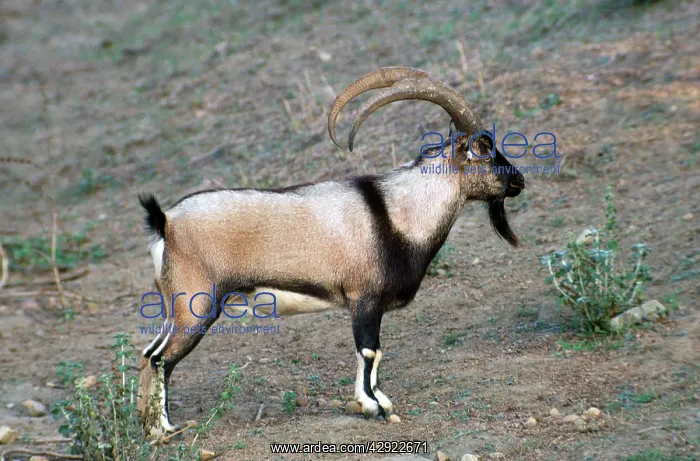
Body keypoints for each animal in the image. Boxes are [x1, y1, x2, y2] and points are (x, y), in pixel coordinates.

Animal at [136, 67, 525, 432]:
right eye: (483, 152)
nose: (519, 180)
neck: (397, 212)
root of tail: (166, 223)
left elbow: (375, 354)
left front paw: (380, 401)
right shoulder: (364, 298)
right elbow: (370, 351)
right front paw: (373, 407)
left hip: (175, 308)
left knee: (148, 352)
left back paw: (148, 424)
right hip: (196, 305)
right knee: (161, 359)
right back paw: (166, 429)